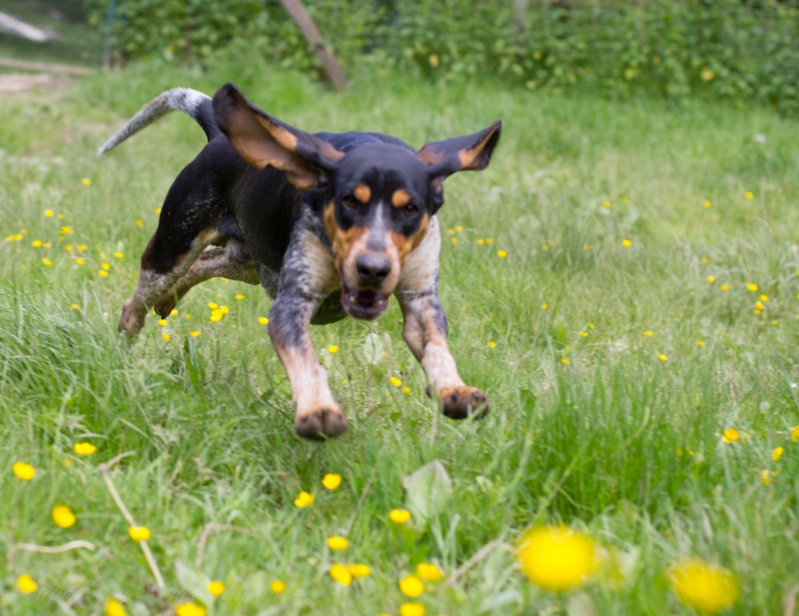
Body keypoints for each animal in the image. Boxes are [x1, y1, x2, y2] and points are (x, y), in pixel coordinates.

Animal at [100, 83, 500, 438]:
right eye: (349, 201)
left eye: (410, 209)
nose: (373, 269)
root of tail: (217, 136)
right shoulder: (291, 303)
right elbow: (305, 360)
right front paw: (318, 411)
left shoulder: (421, 301)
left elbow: (437, 348)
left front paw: (455, 391)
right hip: (174, 248)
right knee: (137, 303)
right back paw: (126, 348)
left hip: (248, 261)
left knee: (202, 265)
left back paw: (169, 300)